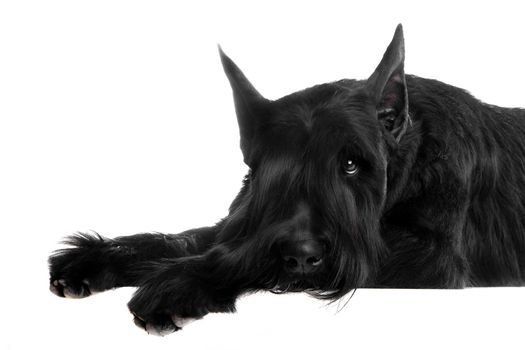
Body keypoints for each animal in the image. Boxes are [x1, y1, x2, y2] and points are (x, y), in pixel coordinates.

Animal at [49, 26, 524, 334]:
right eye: (272, 172)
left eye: (352, 164)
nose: (300, 257)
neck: (410, 150)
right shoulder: (245, 221)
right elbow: (188, 238)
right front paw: (92, 258)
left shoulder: (434, 256)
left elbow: (235, 255)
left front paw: (180, 283)